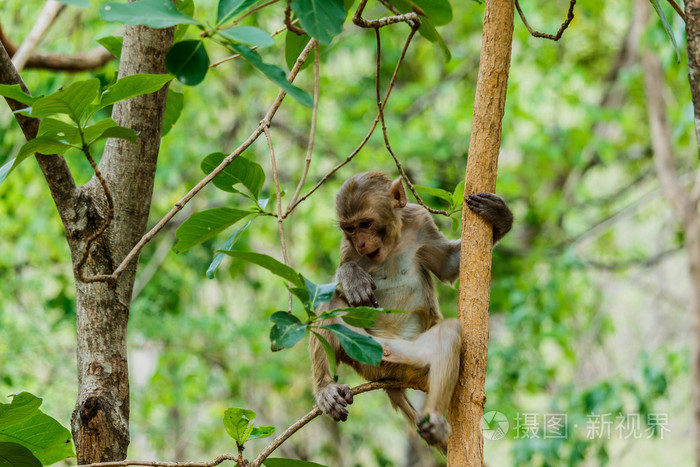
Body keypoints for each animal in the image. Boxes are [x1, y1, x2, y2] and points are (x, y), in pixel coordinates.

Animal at [312, 173, 516, 454]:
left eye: (365, 223)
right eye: (350, 229)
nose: (362, 243)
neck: (392, 242)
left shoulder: (421, 221)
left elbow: (447, 265)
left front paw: (500, 218)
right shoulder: (348, 247)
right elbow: (336, 286)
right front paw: (351, 275)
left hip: (409, 360)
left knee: (448, 333)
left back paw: (435, 421)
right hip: (364, 356)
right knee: (328, 304)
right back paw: (325, 389)